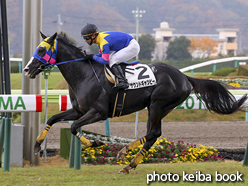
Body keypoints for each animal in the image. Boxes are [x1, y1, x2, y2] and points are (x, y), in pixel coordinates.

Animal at [23, 32, 248, 173]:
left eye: (41, 51)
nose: (26, 70)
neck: (84, 74)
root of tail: (184, 76)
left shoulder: (98, 112)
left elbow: (73, 127)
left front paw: (95, 143)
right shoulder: (79, 110)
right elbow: (53, 118)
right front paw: (36, 146)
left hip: (157, 105)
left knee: (153, 133)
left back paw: (124, 154)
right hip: (158, 108)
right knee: (152, 135)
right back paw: (128, 164)